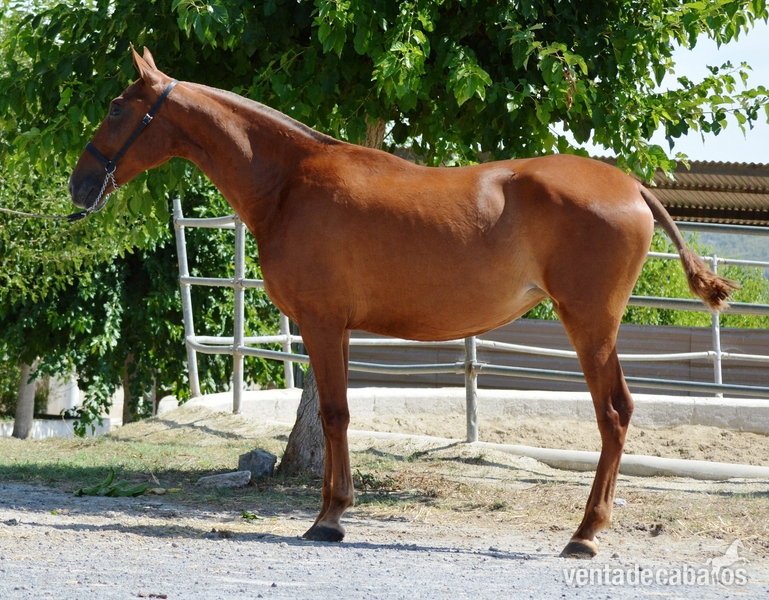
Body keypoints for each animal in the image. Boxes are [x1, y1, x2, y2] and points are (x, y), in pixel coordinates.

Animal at [69, 46, 738, 559]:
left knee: (614, 414)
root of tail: (630, 186)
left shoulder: (320, 323)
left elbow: (334, 414)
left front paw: (329, 519)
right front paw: (333, 512)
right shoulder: (335, 328)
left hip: (591, 324)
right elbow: (335, 417)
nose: (78, 185)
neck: (290, 183)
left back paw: (585, 534)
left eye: (115, 108)